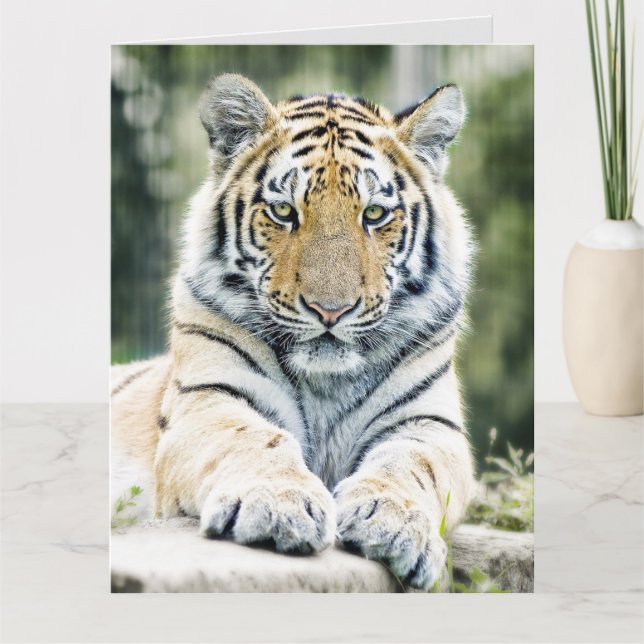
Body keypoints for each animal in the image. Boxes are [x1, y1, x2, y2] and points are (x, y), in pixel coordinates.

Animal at [111, 73, 474, 591]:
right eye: (283, 211)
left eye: (375, 214)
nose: (331, 310)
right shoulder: (208, 399)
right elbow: (252, 437)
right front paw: (276, 506)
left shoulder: (429, 424)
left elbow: (411, 464)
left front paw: (392, 520)